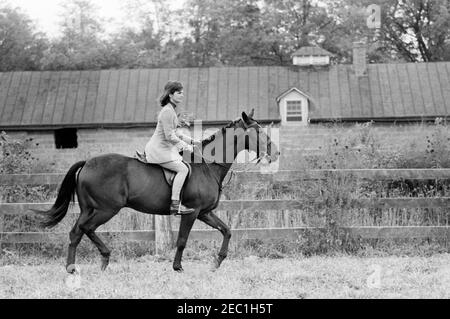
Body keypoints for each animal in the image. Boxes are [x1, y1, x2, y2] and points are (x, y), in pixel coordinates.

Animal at [35, 110, 280, 272]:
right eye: (257, 131)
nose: (275, 153)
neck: (207, 166)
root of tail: (87, 163)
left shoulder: (204, 213)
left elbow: (226, 230)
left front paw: (217, 262)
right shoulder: (191, 212)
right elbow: (182, 240)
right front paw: (177, 267)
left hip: (89, 209)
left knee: (77, 232)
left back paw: (79, 265)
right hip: (106, 209)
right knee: (85, 229)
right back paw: (96, 260)